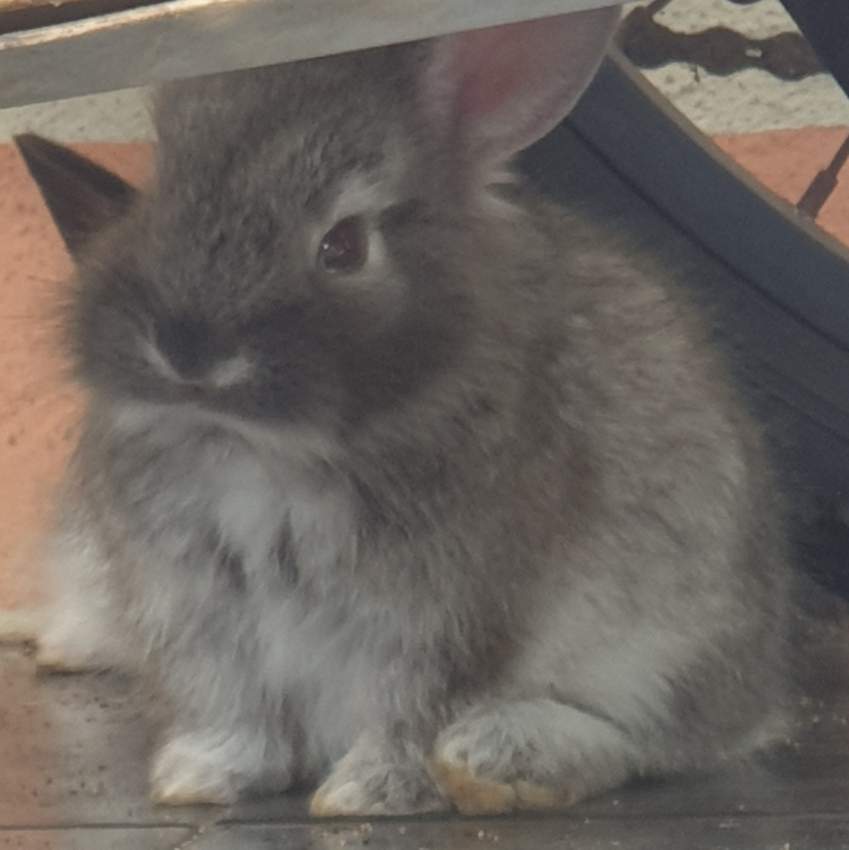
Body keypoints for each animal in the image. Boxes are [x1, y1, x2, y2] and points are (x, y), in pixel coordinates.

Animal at [16, 4, 792, 816]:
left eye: (344, 245)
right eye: (164, 187)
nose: (187, 346)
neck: (257, 448)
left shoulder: (448, 618)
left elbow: (411, 709)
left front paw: (364, 793)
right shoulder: (202, 619)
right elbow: (234, 705)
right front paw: (200, 777)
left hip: (673, 647)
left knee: (646, 744)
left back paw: (499, 760)